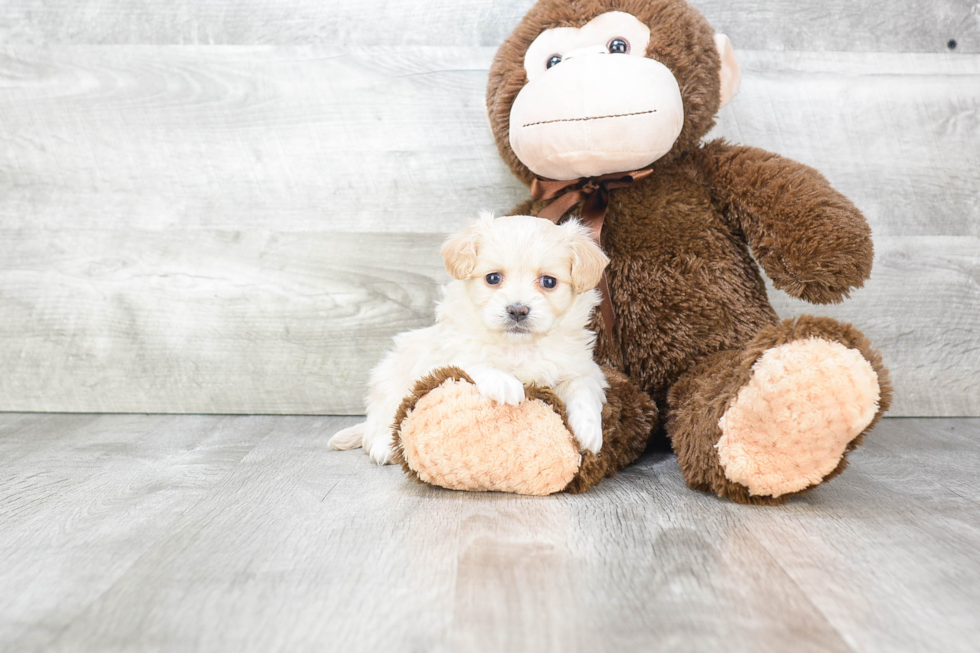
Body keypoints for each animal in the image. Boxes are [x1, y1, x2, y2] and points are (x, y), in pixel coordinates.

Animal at [334, 213, 608, 464]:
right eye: (493, 278)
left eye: (549, 282)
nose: (517, 310)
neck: (517, 347)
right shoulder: (442, 359)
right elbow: (471, 362)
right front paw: (504, 382)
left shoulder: (582, 367)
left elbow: (582, 388)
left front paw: (589, 431)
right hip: (389, 382)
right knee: (379, 423)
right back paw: (383, 446)